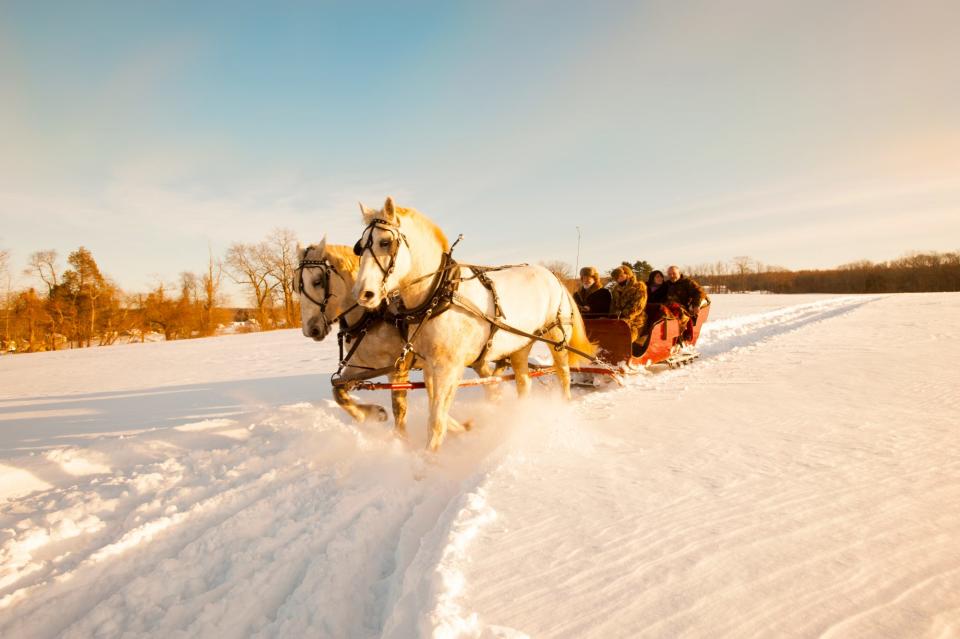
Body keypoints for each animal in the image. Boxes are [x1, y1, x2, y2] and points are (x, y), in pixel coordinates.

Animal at [296, 238, 506, 438]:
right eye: (295, 287)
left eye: (318, 281)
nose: (310, 330)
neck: (373, 316)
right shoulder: (360, 365)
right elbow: (338, 391)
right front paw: (373, 414)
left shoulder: (399, 368)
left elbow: (399, 409)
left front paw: (402, 441)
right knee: (490, 381)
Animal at [352, 198, 592, 452]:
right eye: (360, 246)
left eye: (385, 242)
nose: (362, 294)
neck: (438, 293)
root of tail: (553, 276)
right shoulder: (430, 365)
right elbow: (436, 409)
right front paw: (462, 427)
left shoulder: (449, 367)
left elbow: (436, 421)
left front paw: (429, 457)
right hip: (520, 345)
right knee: (523, 382)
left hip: (556, 337)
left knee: (563, 375)